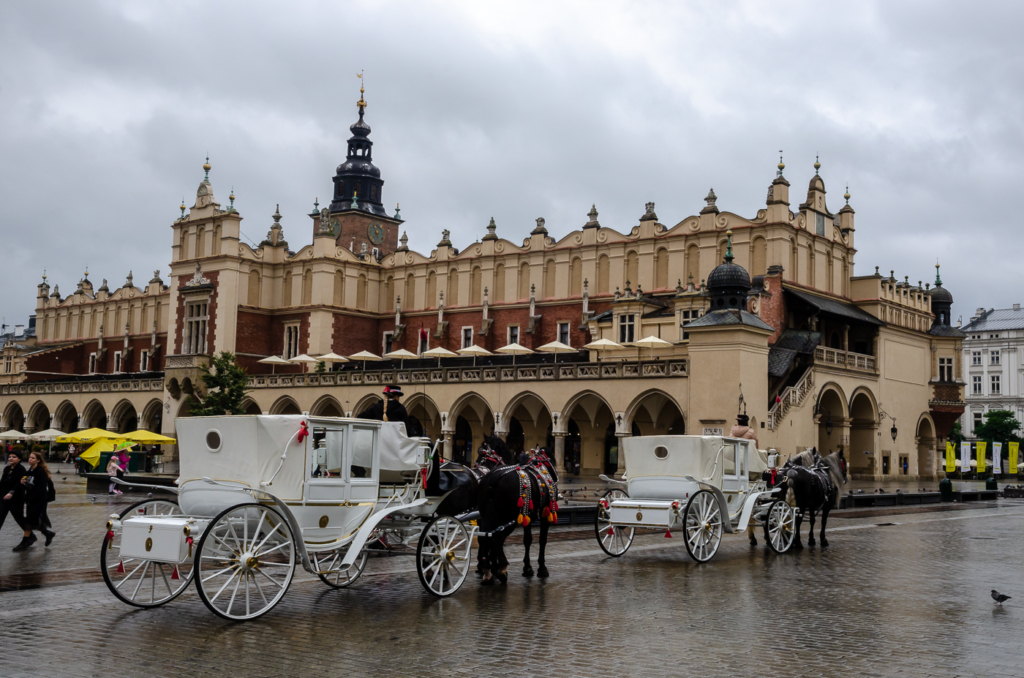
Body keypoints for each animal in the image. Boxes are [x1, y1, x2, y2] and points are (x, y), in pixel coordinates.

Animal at [473, 438, 557, 585]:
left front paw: (527, 568)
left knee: (485, 537)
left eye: (481, 454)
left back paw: (488, 570)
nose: (476, 466)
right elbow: (542, 540)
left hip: (488, 515)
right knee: (496, 537)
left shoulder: (527, 514)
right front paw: (542, 568)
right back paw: (501, 569)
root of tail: (494, 477)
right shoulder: (545, 514)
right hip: (507, 516)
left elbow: (527, 540)